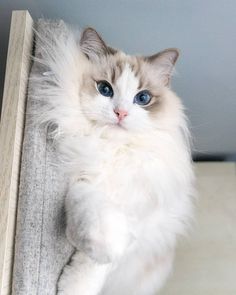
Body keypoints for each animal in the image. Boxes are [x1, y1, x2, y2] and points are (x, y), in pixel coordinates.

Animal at [34, 23, 195, 295]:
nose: (120, 113)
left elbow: (95, 266)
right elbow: (93, 213)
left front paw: (80, 279)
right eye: (105, 89)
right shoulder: (81, 179)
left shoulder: (138, 217)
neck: (113, 151)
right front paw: (99, 245)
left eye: (143, 98)